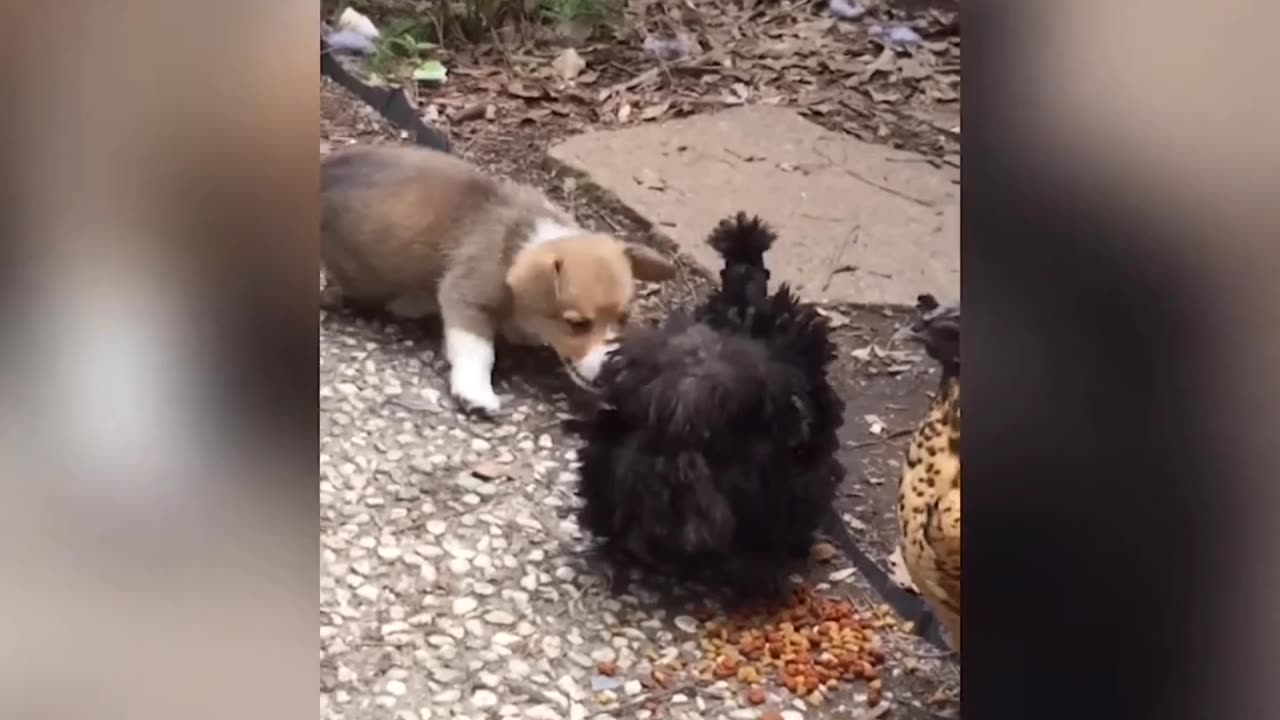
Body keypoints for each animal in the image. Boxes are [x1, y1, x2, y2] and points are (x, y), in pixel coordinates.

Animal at [320, 144, 680, 415]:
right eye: (576, 324)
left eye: (624, 318)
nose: (612, 371)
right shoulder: (464, 297)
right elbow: (478, 349)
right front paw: (475, 392)